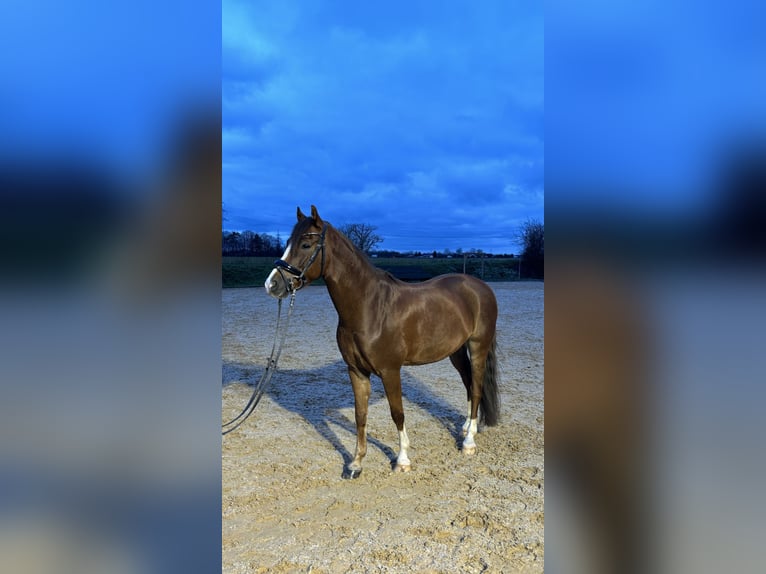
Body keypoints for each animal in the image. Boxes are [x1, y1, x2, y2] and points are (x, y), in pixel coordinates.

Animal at [268, 205, 500, 480]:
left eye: (305, 244)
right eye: (288, 243)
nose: (272, 284)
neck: (369, 308)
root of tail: (480, 287)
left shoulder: (390, 371)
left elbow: (397, 413)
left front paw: (402, 460)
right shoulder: (356, 371)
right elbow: (360, 415)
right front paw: (355, 464)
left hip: (478, 347)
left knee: (476, 388)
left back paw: (469, 443)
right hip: (455, 351)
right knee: (467, 383)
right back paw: (465, 428)